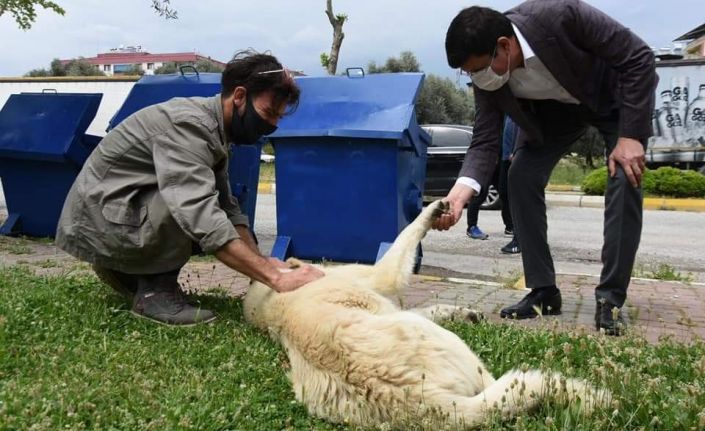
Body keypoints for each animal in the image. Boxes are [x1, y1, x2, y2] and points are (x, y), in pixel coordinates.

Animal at [241, 201, 604, 430]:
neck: (273, 300)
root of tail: (426, 401)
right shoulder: (380, 277)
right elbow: (405, 237)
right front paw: (430, 212)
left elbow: (430, 306)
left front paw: (463, 312)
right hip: (451, 348)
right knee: (502, 387)